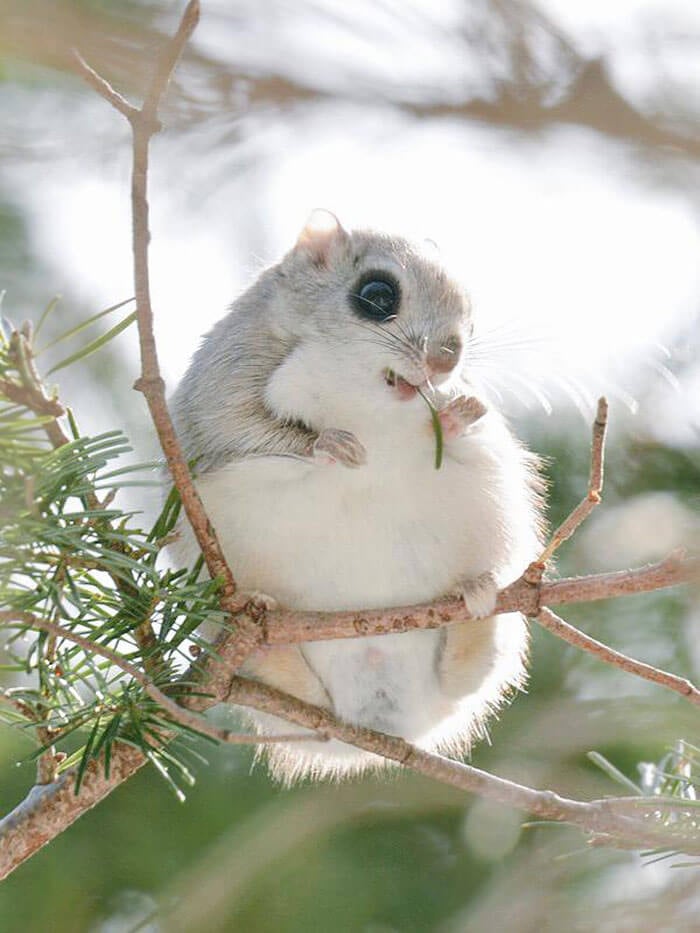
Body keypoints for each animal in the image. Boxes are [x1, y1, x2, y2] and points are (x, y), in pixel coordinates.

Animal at [171, 209, 548, 780]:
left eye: (470, 314)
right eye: (377, 294)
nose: (446, 360)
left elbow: (462, 421)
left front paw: (461, 412)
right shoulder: (221, 388)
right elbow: (243, 428)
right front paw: (331, 445)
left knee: (467, 673)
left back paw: (477, 597)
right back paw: (262, 619)